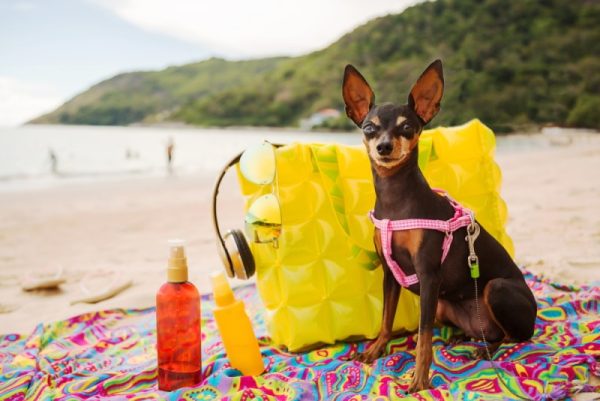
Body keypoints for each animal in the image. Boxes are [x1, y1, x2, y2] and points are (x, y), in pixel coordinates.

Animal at [342, 61, 540, 392]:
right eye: (369, 128)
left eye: (407, 127)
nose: (384, 146)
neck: (396, 198)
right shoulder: (390, 274)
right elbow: (386, 318)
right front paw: (376, 349)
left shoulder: (428, 274)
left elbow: (423, 338)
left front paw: (420, 378)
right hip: (443, 304)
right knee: (483, 331)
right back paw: (462, 337)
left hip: (494, 289)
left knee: (515, 337)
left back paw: (489, 350)